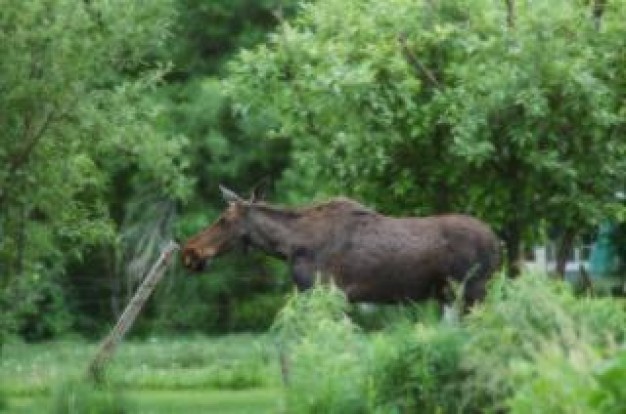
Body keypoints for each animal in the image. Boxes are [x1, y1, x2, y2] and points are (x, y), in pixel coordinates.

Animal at [179, 184, 498, 308]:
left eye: (223, 219)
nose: (189, 251)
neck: (288, 247)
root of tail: (498, 243)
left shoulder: (324, 292)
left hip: (472, 290)